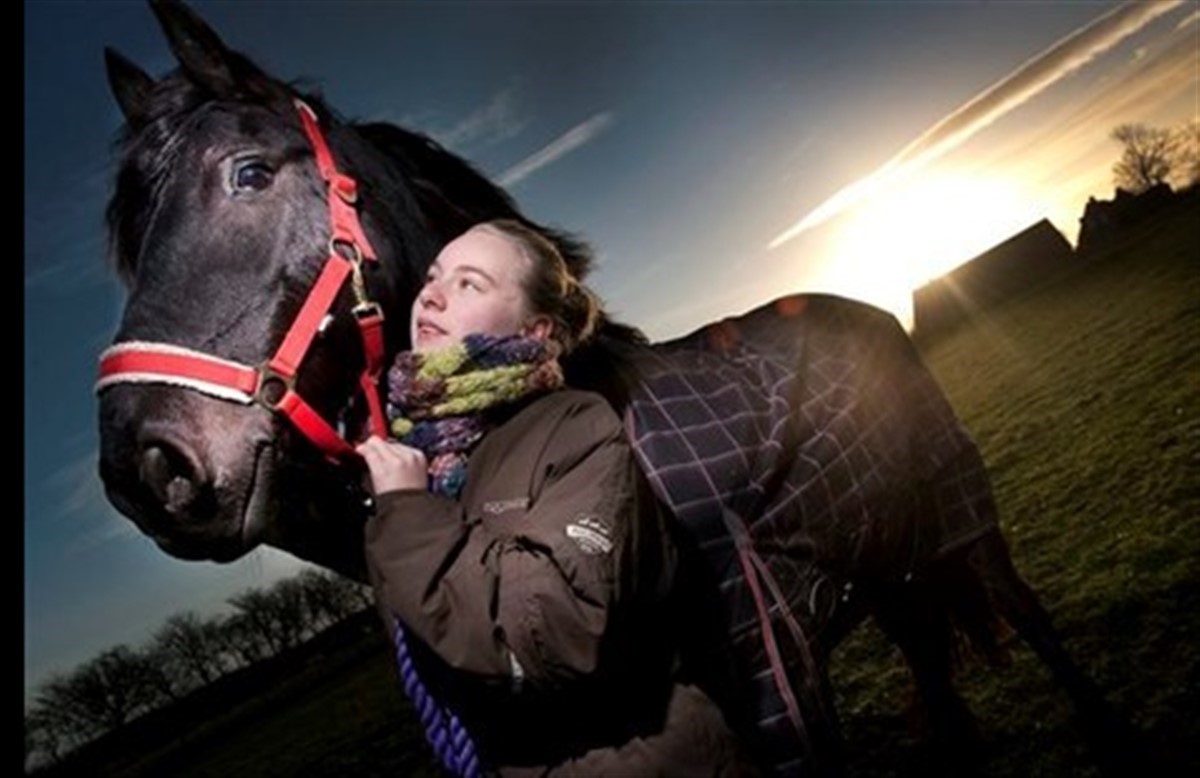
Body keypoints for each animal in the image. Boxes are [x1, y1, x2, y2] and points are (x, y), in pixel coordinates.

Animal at [95, 1, 1139, 774]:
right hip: (886, 566)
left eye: (248, 173)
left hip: (962, 526)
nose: (142, 468)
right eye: (130, 243)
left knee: (1028, 617)